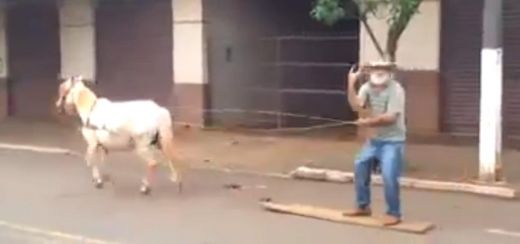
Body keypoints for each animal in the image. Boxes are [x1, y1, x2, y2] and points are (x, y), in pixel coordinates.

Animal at [54, 75, 184, 195]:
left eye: (62, 88)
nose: (57, 106)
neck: (90, 110)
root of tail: (159, 112)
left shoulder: (92, 144)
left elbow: (91, 162)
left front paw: (97, 180)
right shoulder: (102, 146)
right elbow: (102, 161)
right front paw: (104, 177)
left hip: (142, 147)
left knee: (152, 163)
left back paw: (145, 187)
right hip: (160, 143)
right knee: (169, 158)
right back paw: (177, 182)